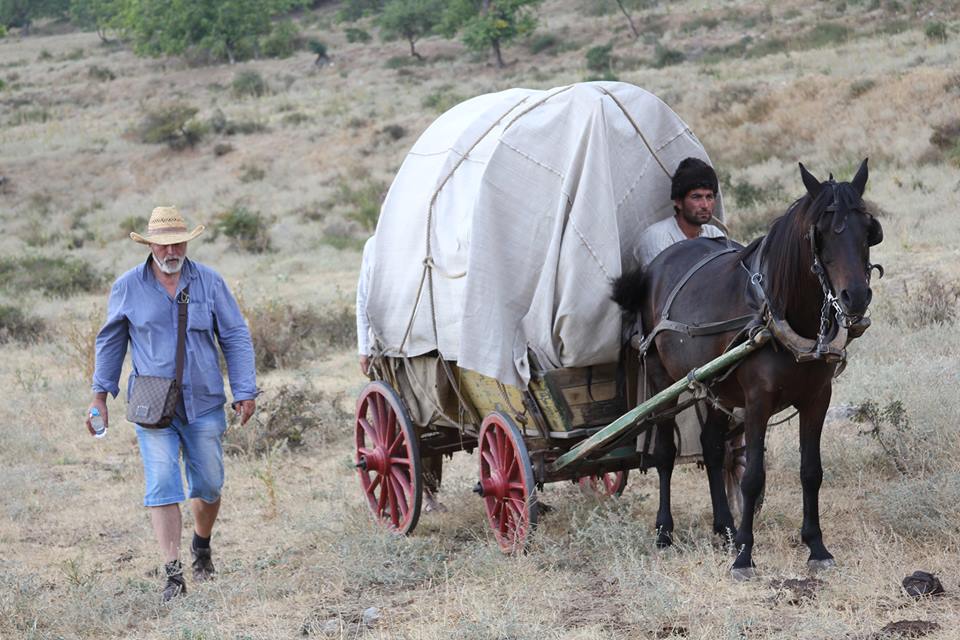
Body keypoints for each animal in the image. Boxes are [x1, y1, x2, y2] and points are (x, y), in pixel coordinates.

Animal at [616, 160, 884, 580]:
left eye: (868, 229)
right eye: (821, 233)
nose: (855, 296)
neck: (783, 311)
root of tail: (655, 266)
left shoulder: (818, 399)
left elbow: (811, 471)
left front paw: (816, 546)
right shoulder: (758, 401)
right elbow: (753, 477)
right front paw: (745, 555)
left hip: (713, 384)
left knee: (712, 447)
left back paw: (724, 527)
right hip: (663, 382)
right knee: (664, 453)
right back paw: (665, 532)